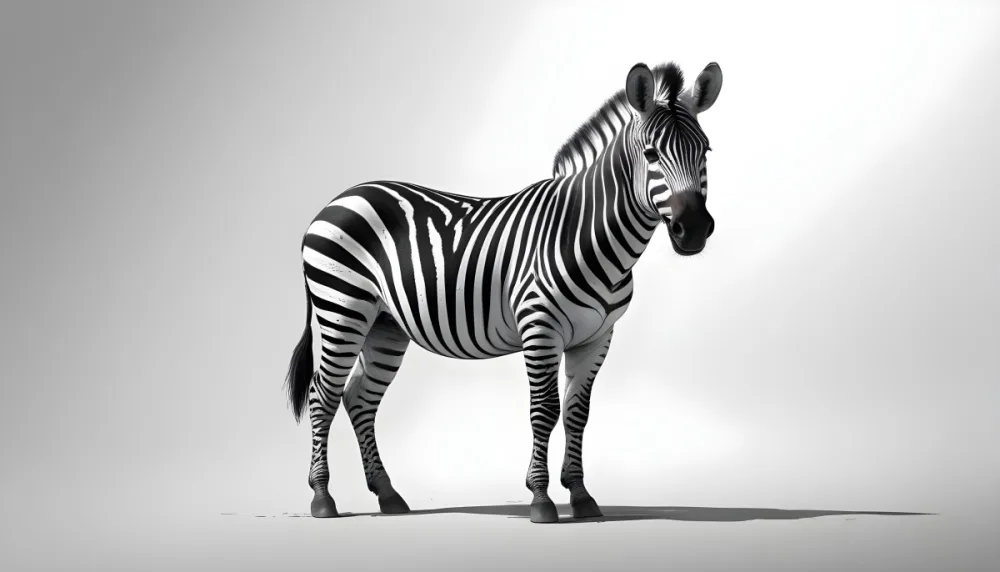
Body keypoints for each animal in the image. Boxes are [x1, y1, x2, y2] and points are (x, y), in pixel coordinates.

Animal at [284, 61, 723, 523]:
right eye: (651, 154)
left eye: (706, 151)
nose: (694, 229)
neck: (586, 233)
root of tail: (339, 198)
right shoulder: (540, 327)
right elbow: (545, 410)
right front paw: (541, 499)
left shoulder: (597, 337)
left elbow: (577, 413)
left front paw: (582, 496)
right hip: (342, 309)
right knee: (322, 395)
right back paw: (322, 498)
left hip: (384, 324)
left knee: (359, 398)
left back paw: (388, 495)